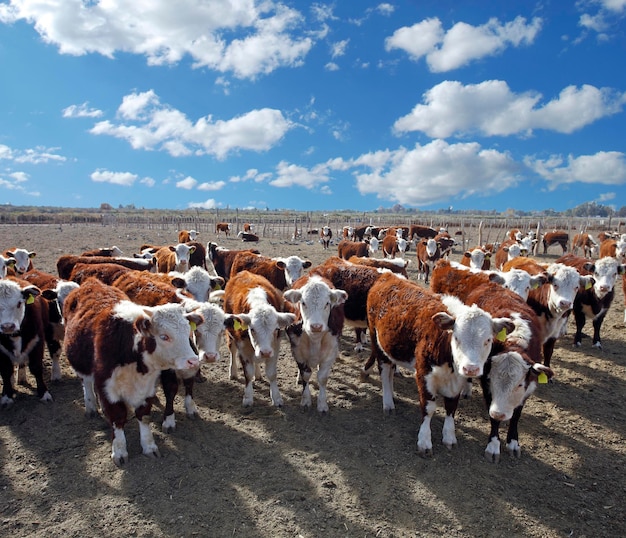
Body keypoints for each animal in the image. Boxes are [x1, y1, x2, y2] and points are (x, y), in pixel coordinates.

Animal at [222, 270, 294, 404]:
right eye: (252, 329)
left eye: (276, 329)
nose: (265, 352)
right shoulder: (243, 347)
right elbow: (248, 373)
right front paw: (248, 398)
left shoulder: (274, 347)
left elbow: (271, 374)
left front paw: (276, 398)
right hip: (231, 335)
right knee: (232, 351)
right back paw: (233, 372)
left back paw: (258, 374)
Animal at [282, 274, 346, 412]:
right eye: (303, 303)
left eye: (327, 303)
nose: (316, 326)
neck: (315, 339)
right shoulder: (297, 351)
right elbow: (305, 375)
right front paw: (306, 400)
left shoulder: (331, 351)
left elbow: (322, 377)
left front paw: (322, 404)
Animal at [366, 272, 512, 452]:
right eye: (456, 338)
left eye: (488, 340)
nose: (470, 369)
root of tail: (388, 275)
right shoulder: (423, 374)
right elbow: (428, 408)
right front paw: (424, 440)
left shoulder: (458, 381)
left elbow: (451, 407)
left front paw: (449, 436)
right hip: (377, 341)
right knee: (385, 372)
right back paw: (388, 403)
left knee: (391, 371)